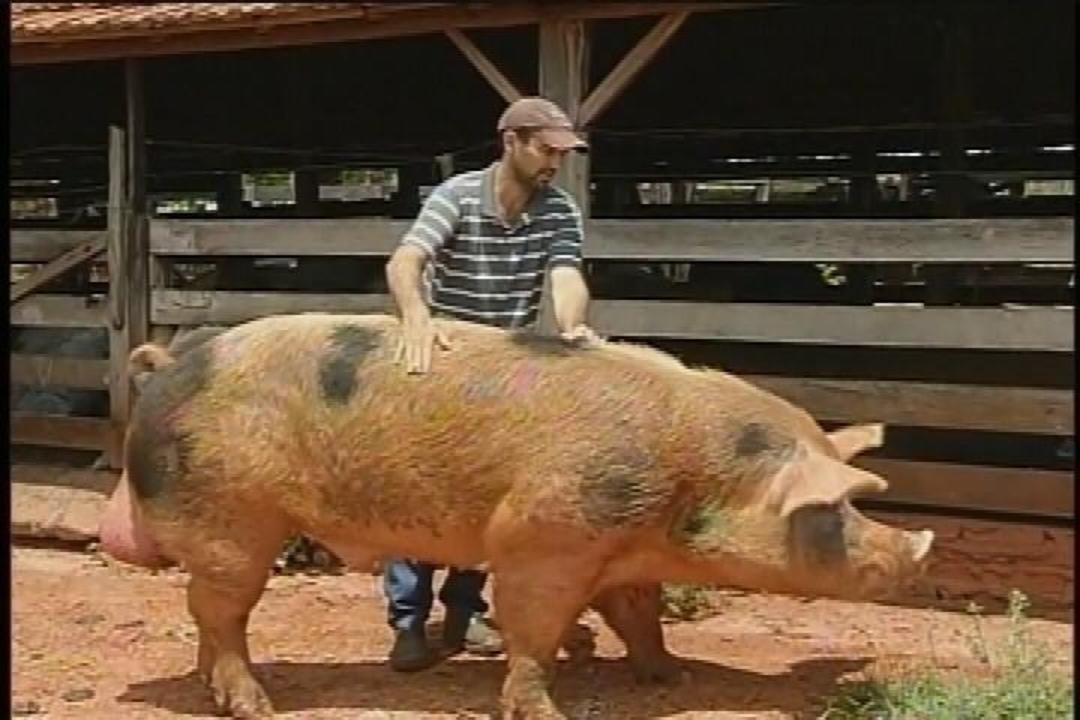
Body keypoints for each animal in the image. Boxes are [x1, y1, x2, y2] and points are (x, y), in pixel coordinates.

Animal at [97, 313, 933, 720]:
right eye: (831, 510)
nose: (919, 556)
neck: (692, 475)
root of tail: (169, 362)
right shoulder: (545, 538)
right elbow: (534, 629)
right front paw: (546, 711)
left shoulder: (620, 552)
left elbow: (641, 614)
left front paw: (673, 675)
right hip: (232, 519)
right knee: (219, 610)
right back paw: (254, 706)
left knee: (208, 617)